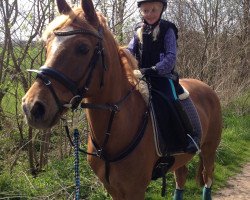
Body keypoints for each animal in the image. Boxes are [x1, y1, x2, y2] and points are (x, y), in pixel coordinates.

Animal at [21, 0, 221, 199]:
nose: (32, 107)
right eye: (47, 46)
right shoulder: (113, 188)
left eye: (83, 48)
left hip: (209, 150)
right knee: (181, 176)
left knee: (208, 177)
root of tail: (207, 88)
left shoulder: (135, 189)